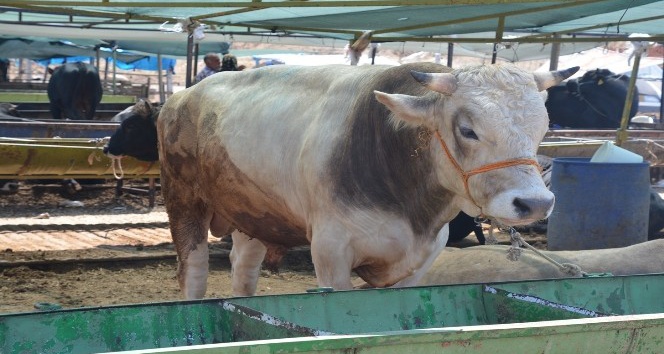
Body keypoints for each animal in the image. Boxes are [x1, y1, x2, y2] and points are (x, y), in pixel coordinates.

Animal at [156, 62, 576, 298]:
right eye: (468, 129)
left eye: (544, 127)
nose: (535, 203)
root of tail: (179, 98)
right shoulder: (330, 252)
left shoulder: (422, 260)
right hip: (183, 202)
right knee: (193, 276)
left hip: (254, 216)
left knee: (243, 271)